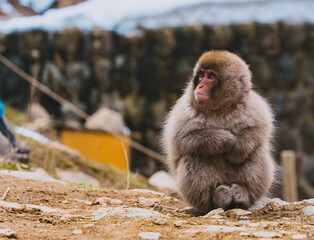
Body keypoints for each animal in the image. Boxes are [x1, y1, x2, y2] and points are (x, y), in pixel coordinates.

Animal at [162, 50, 274, 216]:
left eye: (211, 76)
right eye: (201, 75)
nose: (200, 85)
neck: (221, 108)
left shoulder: (251, 103)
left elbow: (259, 129)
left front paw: (238, 146)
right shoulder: (185, 107)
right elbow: (181, 139)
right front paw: (225, 140)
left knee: (257, 150)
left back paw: (243, 194)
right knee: (193, 156)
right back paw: (216, 197)